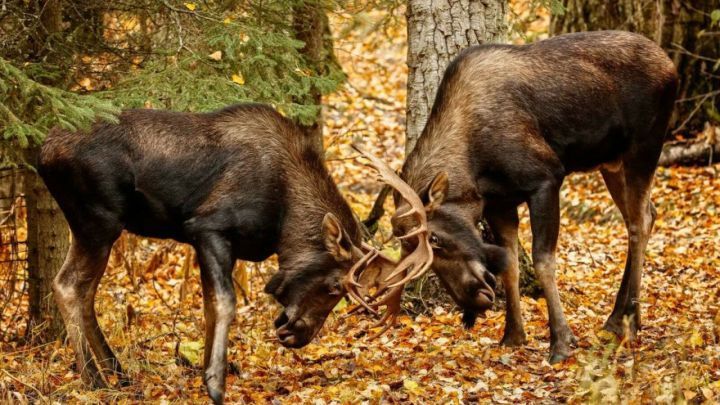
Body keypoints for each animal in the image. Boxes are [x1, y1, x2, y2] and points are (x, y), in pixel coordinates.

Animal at [40, 103, 422, 400]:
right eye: (334, 286)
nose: (298, 335)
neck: (283, 220)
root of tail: (43, 151)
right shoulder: (207, 227)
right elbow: (224, 303)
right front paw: (215, 383)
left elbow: (210, 305)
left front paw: (206, 372)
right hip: (98, 221)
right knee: (68, 285)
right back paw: (94, 380)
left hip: (96, 227)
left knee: (85, 292)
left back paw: (118, 374)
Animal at [376, 30, 680, 360]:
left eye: (435, 238)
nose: (472, 299)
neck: (474, 170)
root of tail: (671, 65)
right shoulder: (499, 204)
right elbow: (510, 264)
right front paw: (513, 334)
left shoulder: (546, 178)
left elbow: (543, 260)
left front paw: (561, 341)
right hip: (611, 163)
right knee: (647, 214)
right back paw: (616, 319)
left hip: (645, 145)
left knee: (639, 222)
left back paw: (630, 322)